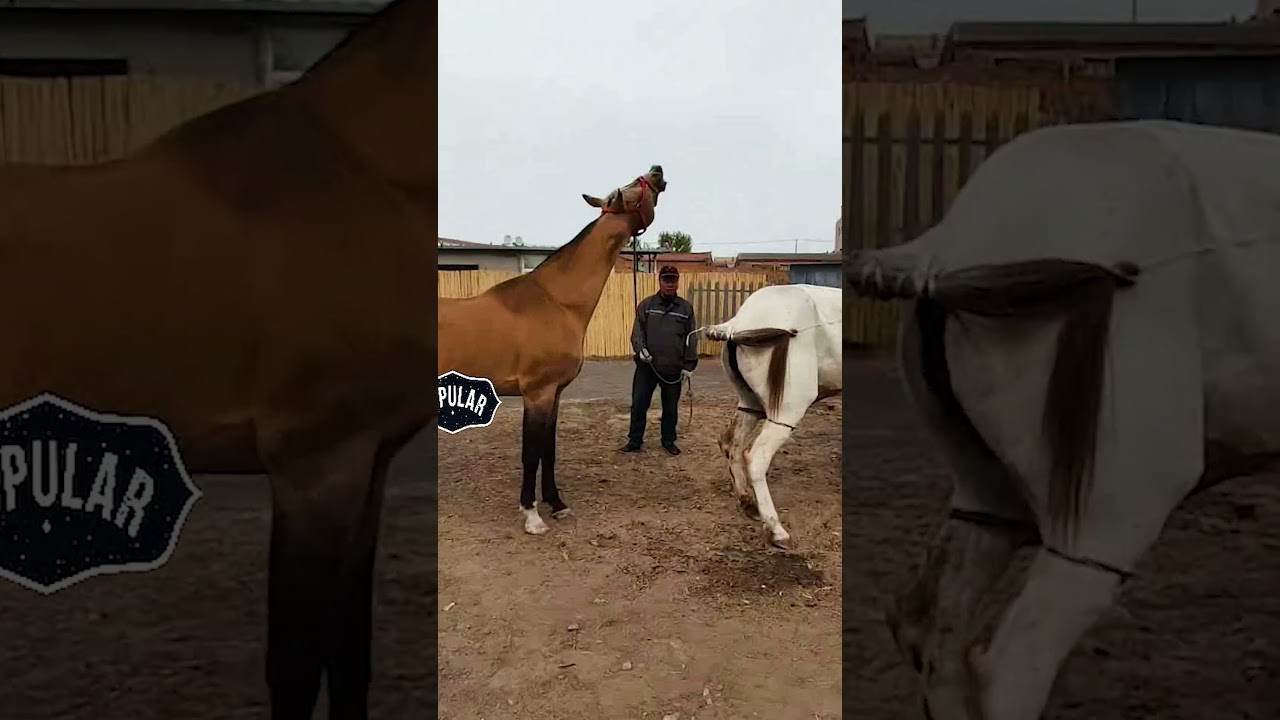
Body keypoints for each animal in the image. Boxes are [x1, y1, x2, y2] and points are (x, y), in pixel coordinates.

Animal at [438, 166, 667, 536]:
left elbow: (549, 450)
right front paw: (532, 515)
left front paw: (557, 503)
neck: (557, 301)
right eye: (635, 186)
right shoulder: (537, 393)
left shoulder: (555, 393)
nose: (657, 170)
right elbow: (531, 453)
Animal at [705, 283, 842, 550]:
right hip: (787, 410)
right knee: (756, 457)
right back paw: (776, 531)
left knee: (731, 444)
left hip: (750, 403)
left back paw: (746, 501)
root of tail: (737, 324)